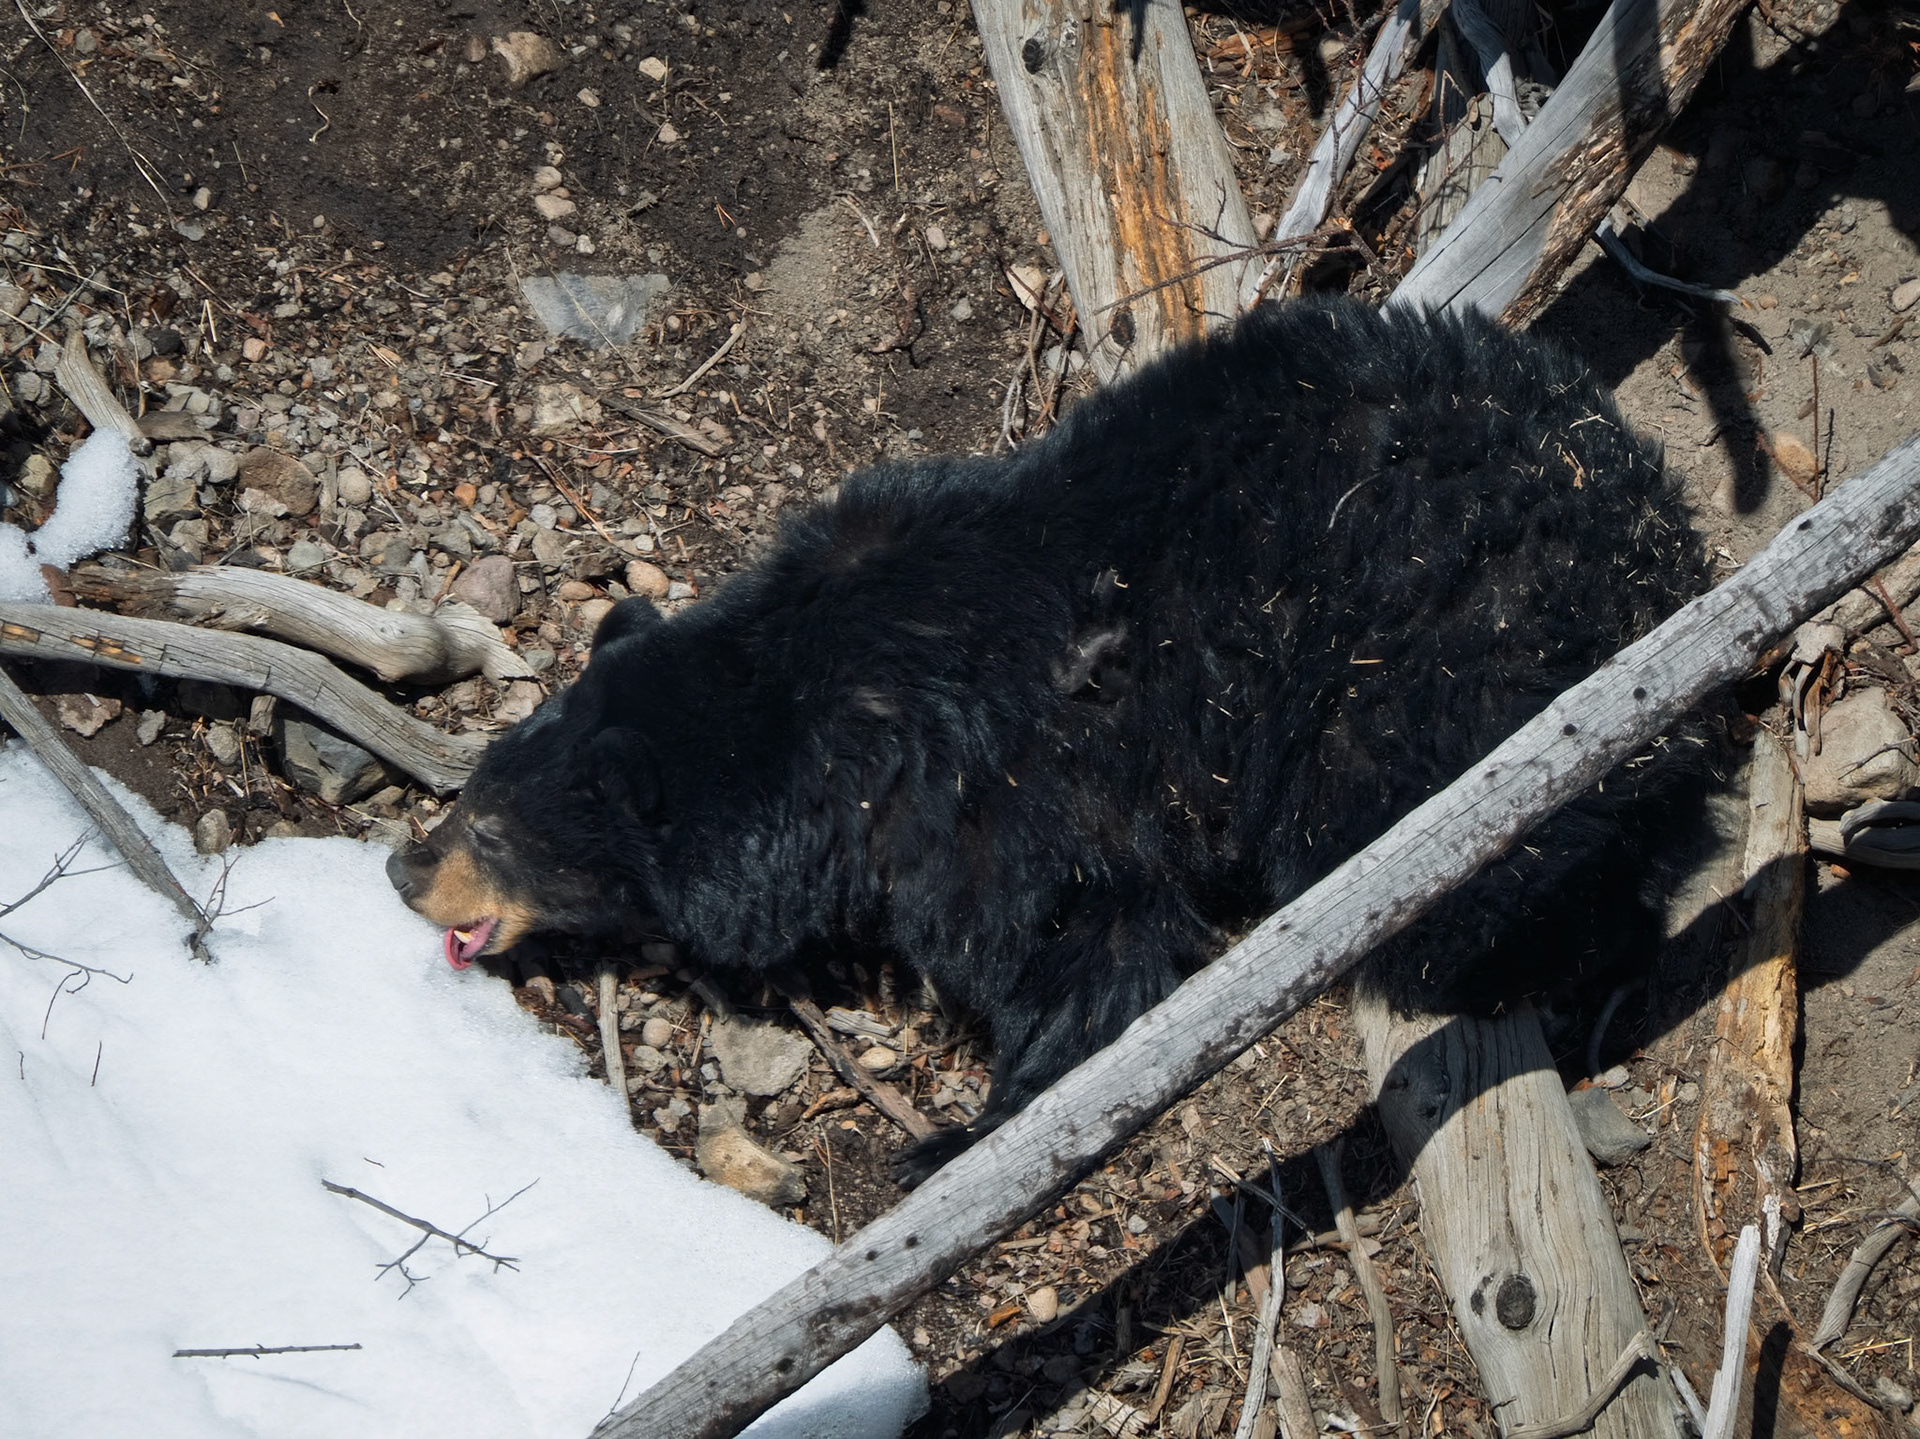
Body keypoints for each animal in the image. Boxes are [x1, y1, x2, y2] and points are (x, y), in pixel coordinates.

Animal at [387, 296, 1708, 1181]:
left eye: (491, 827)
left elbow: (1073, 948)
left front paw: (955, 1136)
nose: (403, 864)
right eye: (473, 786)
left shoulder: (1003, 788)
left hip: (1438, 676)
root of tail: (1666, 543)